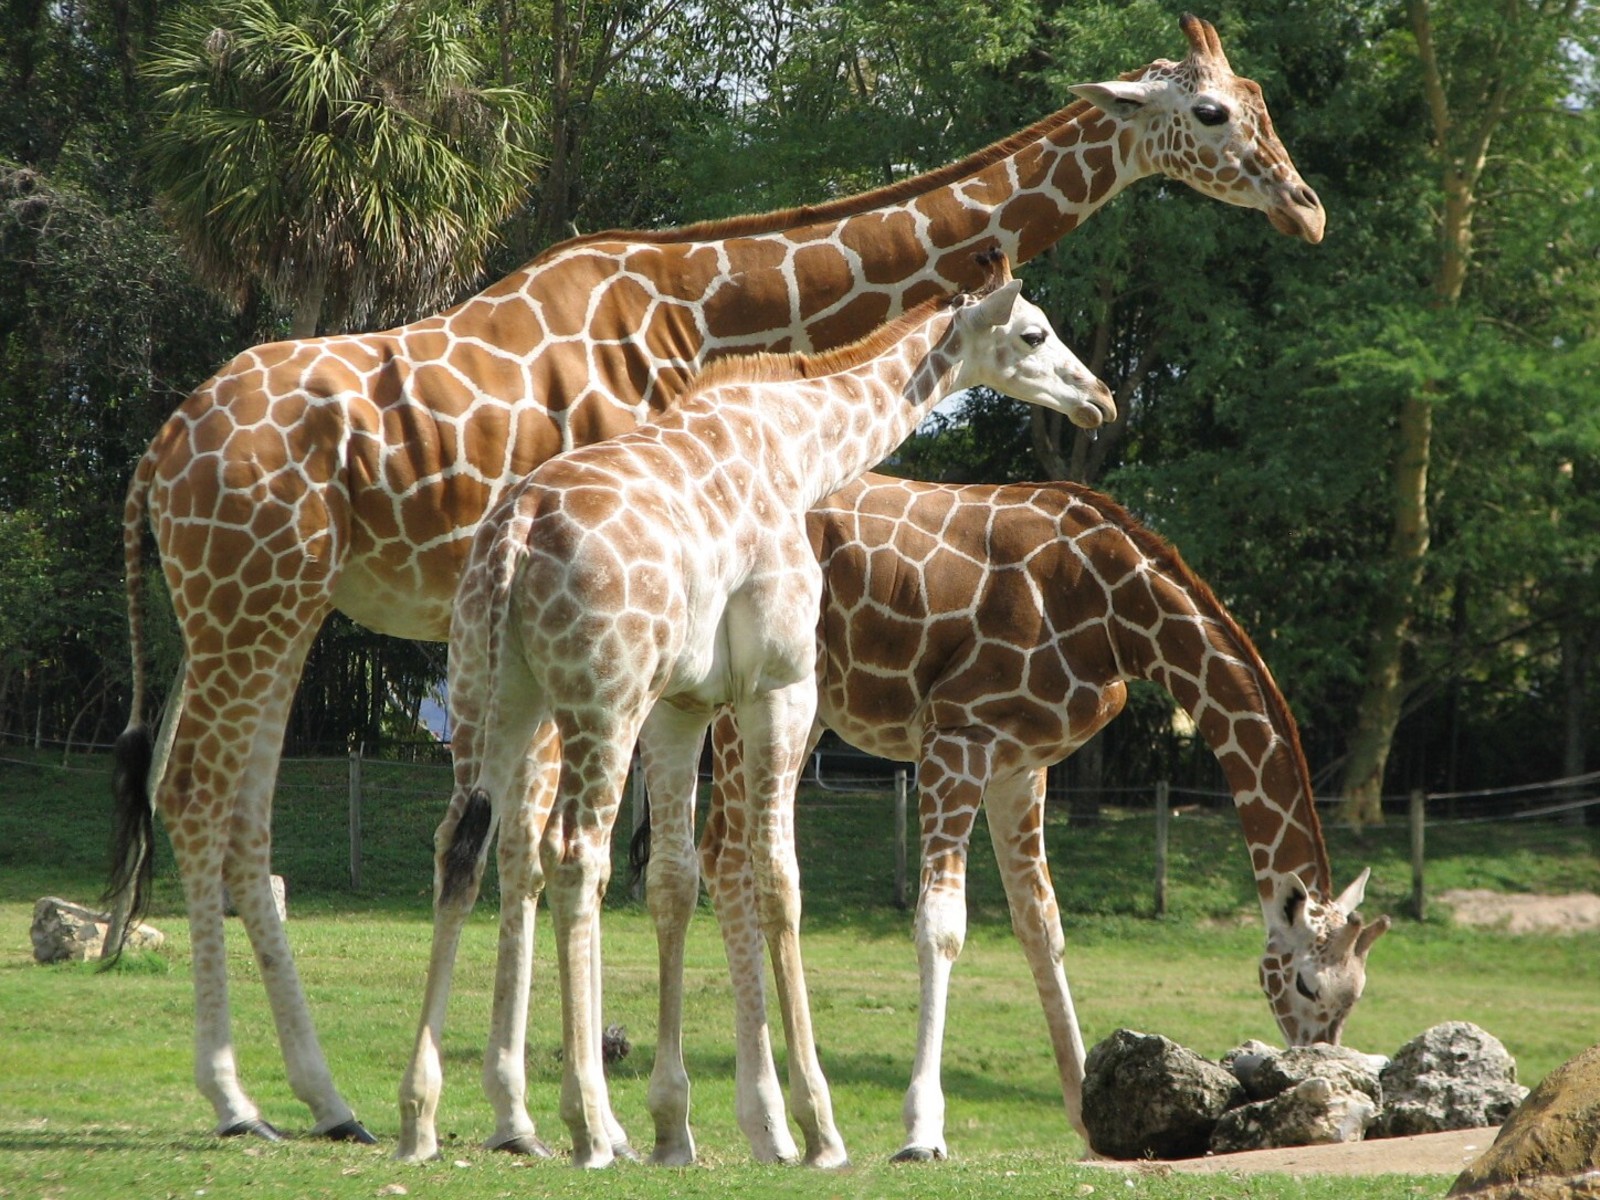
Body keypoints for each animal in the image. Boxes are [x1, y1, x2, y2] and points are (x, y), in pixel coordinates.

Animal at [428, 261, 1114, 1167]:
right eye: (1034, 333)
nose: (1099, 397)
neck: (796, 447)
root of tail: (514, 537)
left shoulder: (680, 704)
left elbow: (676, 881)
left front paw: (676, 1126)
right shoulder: (780, 686)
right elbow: (779, 881)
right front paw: (817, 1127)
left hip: (493, 693)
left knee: (462, 846)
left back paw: (428, 1114)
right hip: (598, 700)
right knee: (573, 855)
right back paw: (590, 1125)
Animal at [683, 474, 1390, 1162]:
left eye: (1355, 994)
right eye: (1305, 985)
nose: (1312, 1059)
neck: (1119, 617)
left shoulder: (1021, 765)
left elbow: (1041, 928)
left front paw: (1090, 1122)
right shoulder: (959, 735)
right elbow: (942, 925)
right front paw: (922, 1132)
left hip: (797, 711)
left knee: (722, 856)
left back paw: (763, 1131)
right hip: (757, 699)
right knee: (730, 859)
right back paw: (778, 1127)